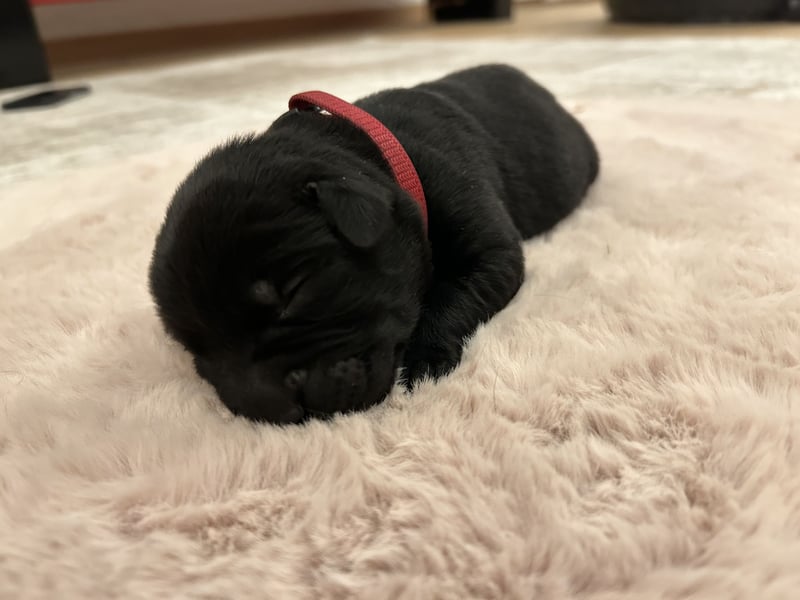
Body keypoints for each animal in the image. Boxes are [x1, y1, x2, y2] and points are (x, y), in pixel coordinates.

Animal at [152, 63, 600, 424]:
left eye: (293, 294)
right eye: (195, 351)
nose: (274, 409)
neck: (375, 154)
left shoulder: (488, 247)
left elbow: (452, 294)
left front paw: (422, 362)